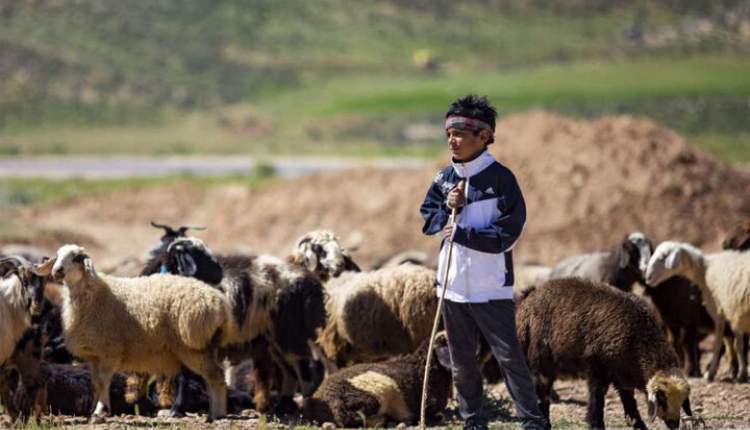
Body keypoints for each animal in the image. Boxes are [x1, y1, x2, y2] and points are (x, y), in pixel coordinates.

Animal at [32, 244, 231, 422]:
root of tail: (220, 302)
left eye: (76, 258)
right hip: (205, 345)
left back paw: (217, 414)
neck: (93, 295)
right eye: (57, 255)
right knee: (211, 377)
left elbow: (104, 381)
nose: (57, 271)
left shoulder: (109, 350)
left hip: (193, 345)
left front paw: (100, 410)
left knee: (215, 377)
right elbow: (96, 383)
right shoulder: (96, 355)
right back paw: (214, 411)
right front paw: (97, 408)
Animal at [516, 278, 692, 428]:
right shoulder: (597, 370)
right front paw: (596, 424)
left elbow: (630, 405)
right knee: (542, 395)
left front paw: (639, 426)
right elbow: (597, 399)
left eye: (683, 400)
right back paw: (544, 423)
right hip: (541, 361)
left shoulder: (623, 378)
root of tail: (528, 298)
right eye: (662, 399)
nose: (674, 424)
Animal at [648, 240, 750, 382]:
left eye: (663, 257)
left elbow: (722, 344)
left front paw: (712, 373)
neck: (705, 269)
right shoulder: (733, 311)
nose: (648, 276)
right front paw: (741, 373)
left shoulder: (722, 310)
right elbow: (737, 344)